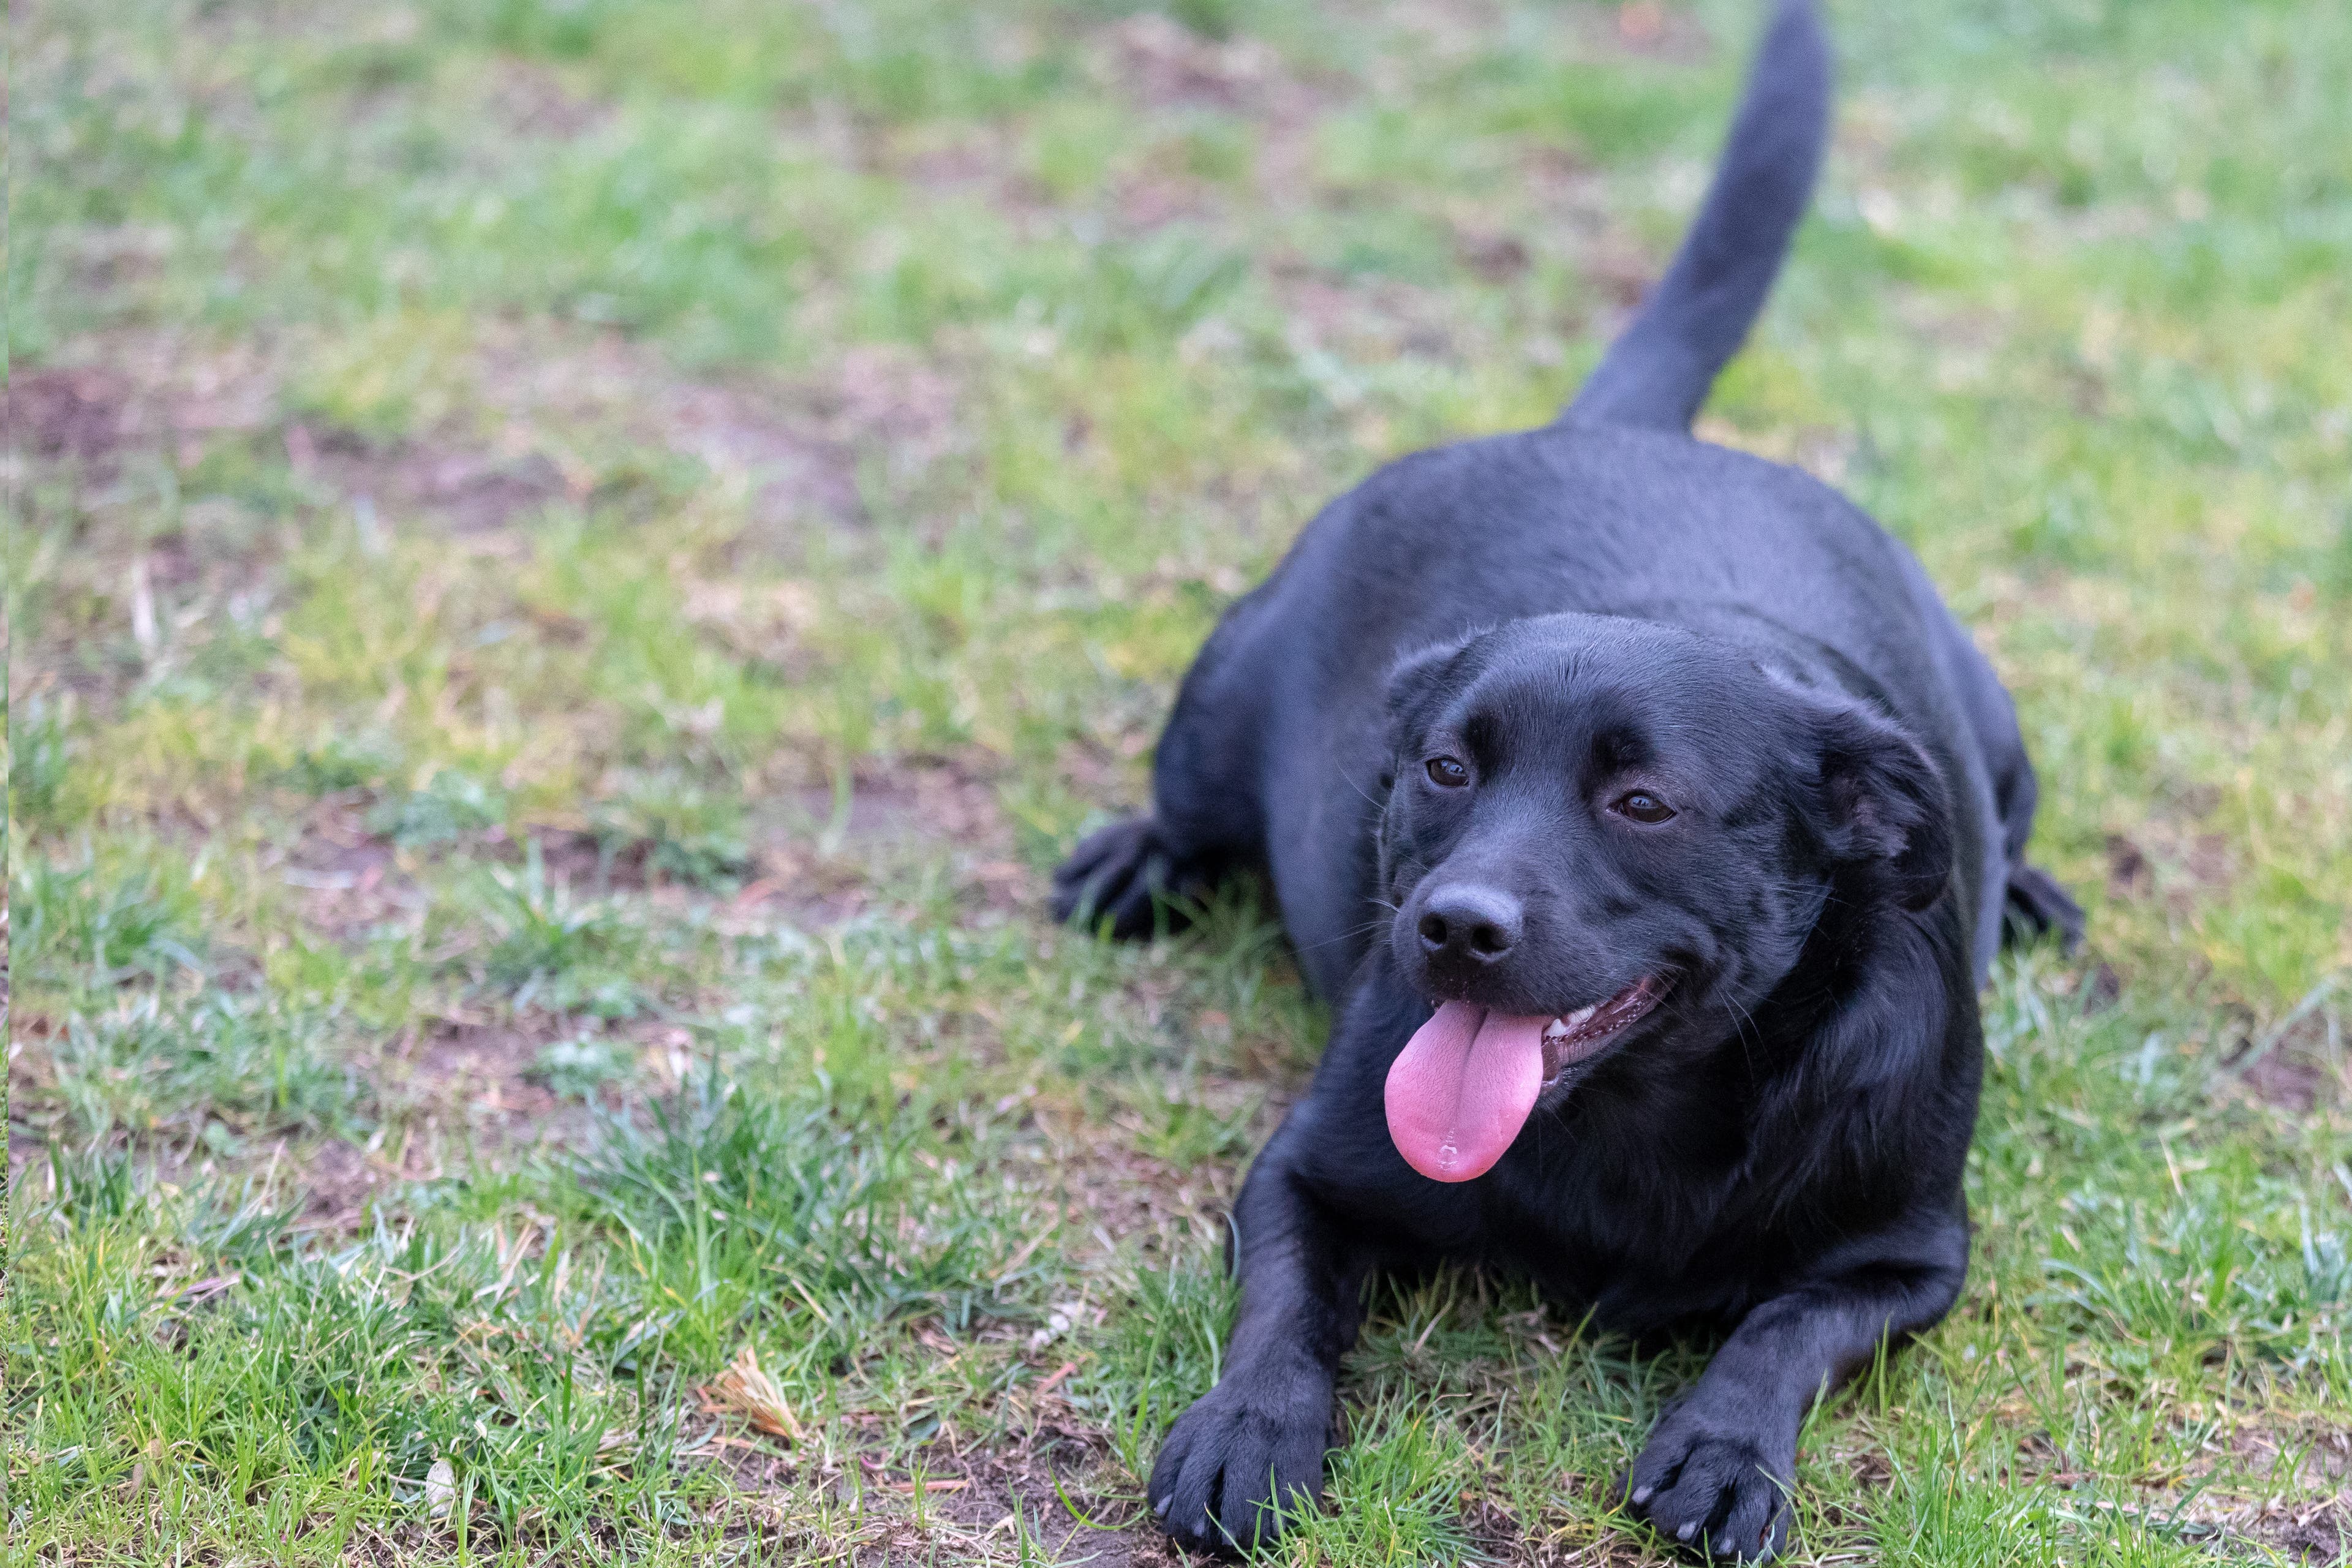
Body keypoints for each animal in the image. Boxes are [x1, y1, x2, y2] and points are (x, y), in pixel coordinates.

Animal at [1058, 3, 2088, 1561]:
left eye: (1642, 802)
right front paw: (1249, 1426)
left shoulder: (1908, 1256)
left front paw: (1723, 1446)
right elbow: (1286, 1304)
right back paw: (1139, 856)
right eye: (1443, 766)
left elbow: (1782, 1326)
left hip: (2001, 723)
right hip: (1220, 693)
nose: (1453, 925)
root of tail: (1630, 428)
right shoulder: (1304, 1165)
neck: (1635, 1116)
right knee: (1188, 801)